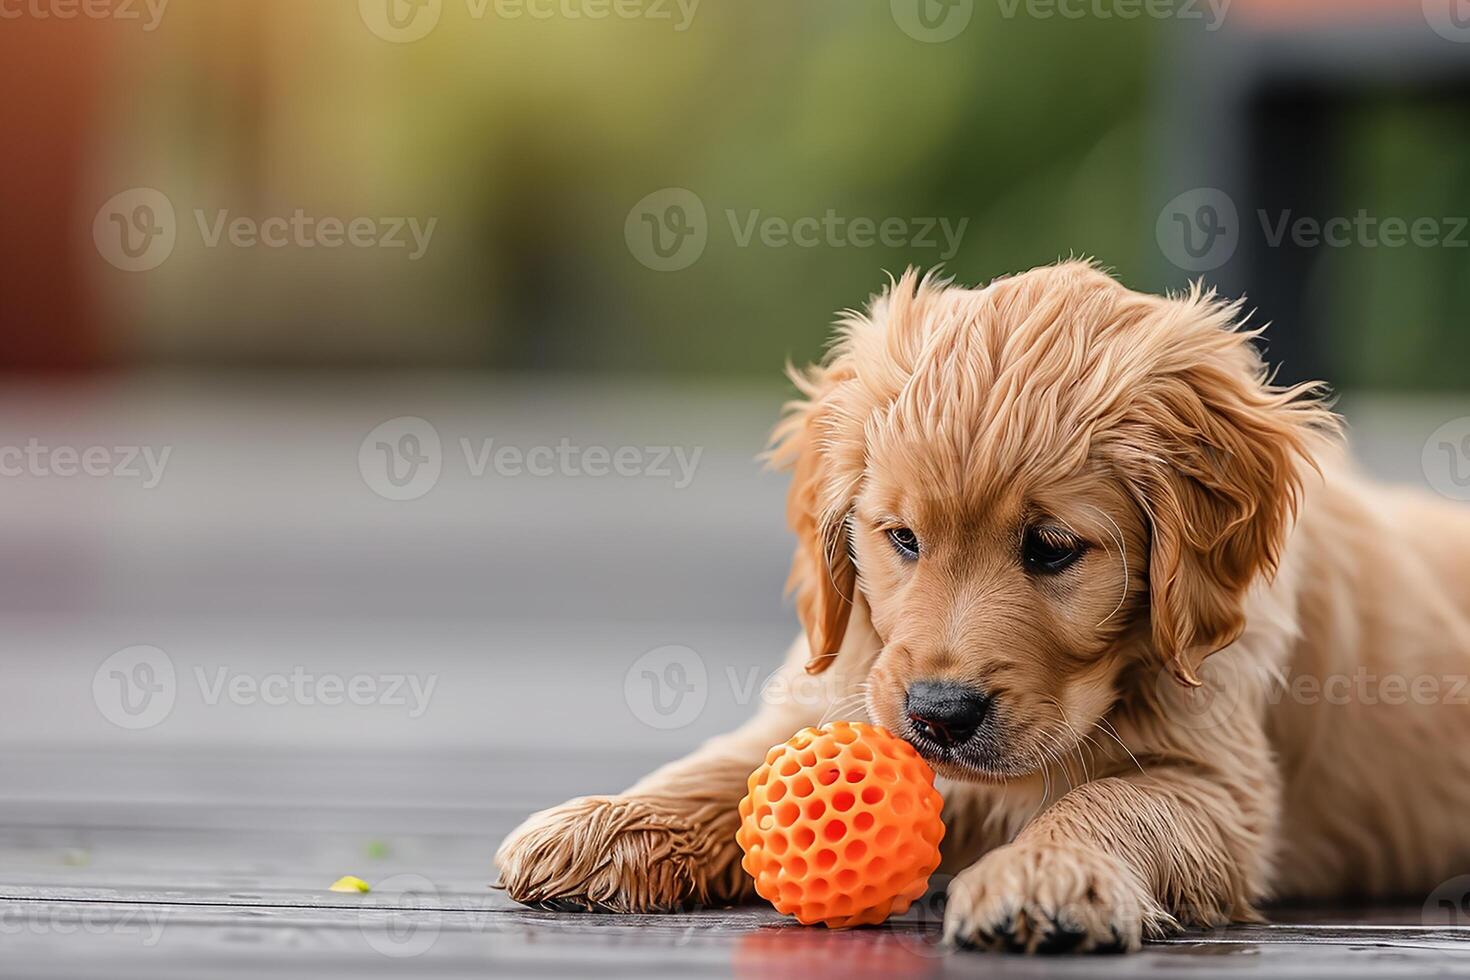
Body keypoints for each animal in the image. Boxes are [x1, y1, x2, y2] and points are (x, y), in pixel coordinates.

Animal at [499, 264, 1470, 952]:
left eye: (1051, 547)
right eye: (901, 538)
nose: (939, 715)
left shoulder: (1221, 786)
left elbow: (1114, 803)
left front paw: (1043, 874)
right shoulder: (846, 677)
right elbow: (732, 765)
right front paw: (605, 823)